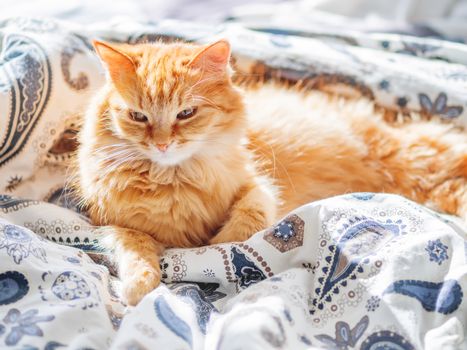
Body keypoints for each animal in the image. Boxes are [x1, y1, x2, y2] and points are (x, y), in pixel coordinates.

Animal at [77, 39, 467, 304]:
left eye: (186, 114)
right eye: (138, 116)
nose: (161, 144)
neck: (174, 179)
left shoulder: (257, 185)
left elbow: (243, 225)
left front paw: (216, 249)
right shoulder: (120, 225)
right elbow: (135, 251)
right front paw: (138, 287)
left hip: (418, 158)